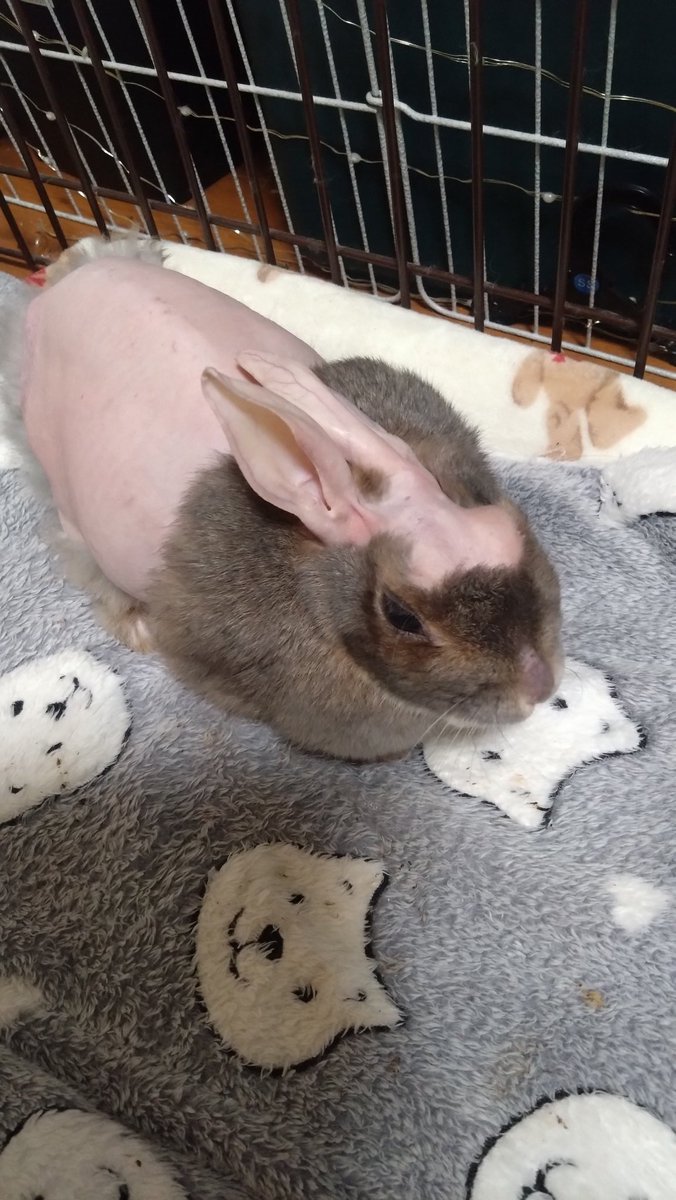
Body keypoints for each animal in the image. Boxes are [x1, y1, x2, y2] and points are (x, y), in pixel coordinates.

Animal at [7, 234, 562, 761]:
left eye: (508, 529)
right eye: (401, 617)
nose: (539, 687)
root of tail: (58, 292)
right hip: (67, 502)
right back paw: (136, 626)